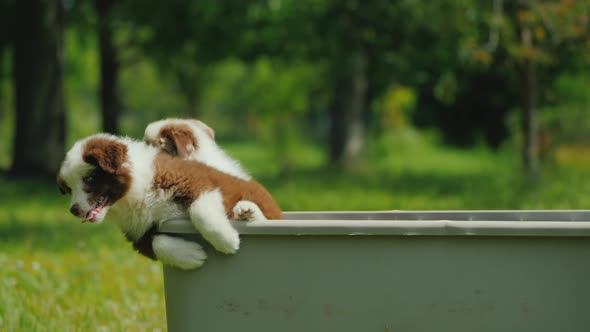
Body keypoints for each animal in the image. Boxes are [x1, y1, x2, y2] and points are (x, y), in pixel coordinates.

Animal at [56, 134, 284, 268]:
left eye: (89, 179)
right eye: (68, 189)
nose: (73, 210)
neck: (134, 193)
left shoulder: (196, 183)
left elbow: (200, 213)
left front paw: (227, 241)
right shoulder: (137, 232)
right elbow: (155, 243)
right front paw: (191, 255)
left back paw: (248, 212)